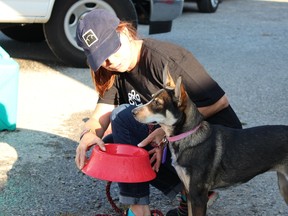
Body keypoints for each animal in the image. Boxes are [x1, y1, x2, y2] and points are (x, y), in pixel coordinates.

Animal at [132, 65, 288, 215]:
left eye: (157, 103)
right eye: (151, 98)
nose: (133, 112)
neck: (188, 135)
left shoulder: (198, 196)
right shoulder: (189, 193)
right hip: (283, 185)